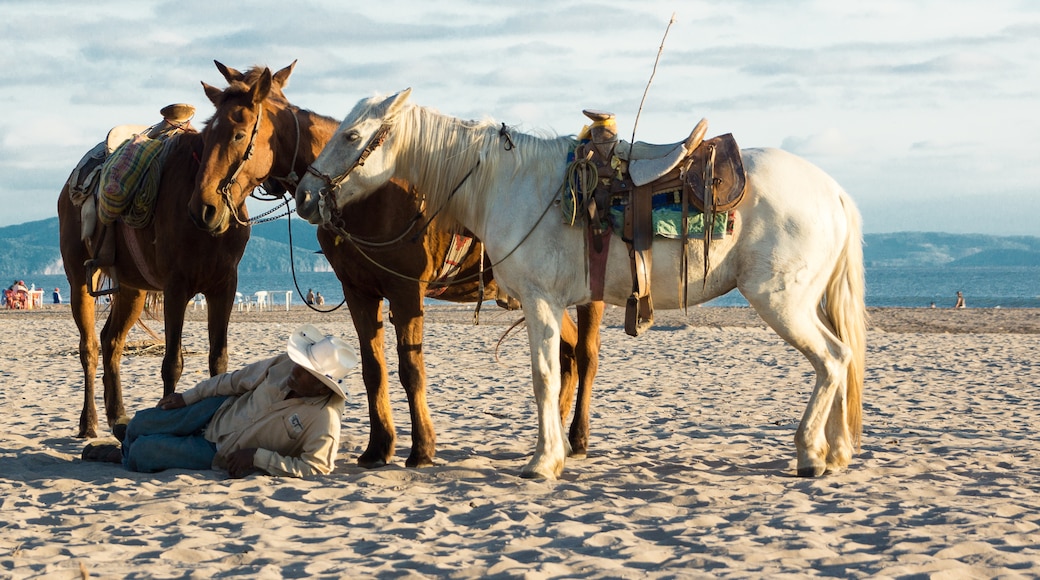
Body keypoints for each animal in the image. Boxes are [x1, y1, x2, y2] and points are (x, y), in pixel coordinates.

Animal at [58, 95, 249, 438]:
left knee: (112, 342)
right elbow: (172, 362)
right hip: (78, 278)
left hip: (132, 289)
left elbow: (219, 361)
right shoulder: (176, 287)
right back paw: (89, 422)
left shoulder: (224, 286)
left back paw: (118, 417)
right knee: (89, 347)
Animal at [187, 61, 603, 467]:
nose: (203, 208)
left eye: (239, 134)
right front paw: (378, 447)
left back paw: (577, 437)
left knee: (586, 356)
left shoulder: (406, 291)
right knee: (567, 355)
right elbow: (373, 370)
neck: (373, 195)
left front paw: (421, 449)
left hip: (584, 297)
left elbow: (411, 370)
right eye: (206, 135)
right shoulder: (359, 292)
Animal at [295, 90, 869, 482]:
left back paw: (810, 453)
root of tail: (834, 192)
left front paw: (543, 461)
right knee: (842, 359)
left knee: (833, 359)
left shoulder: (540, 302)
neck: (507, 183)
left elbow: (545, 377)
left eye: (351, 137)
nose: (303, 195)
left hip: (782, 302)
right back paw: (838, 451)